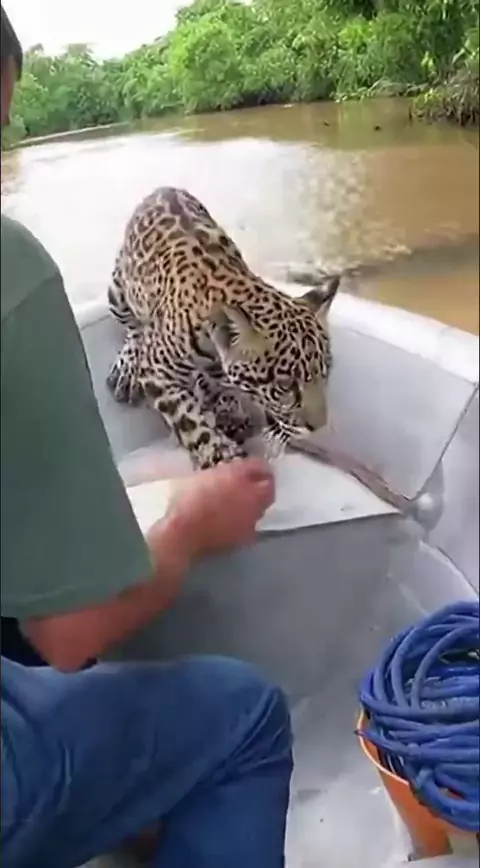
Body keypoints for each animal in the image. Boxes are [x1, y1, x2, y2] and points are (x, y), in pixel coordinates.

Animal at [107, 186, 340, 470]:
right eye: (284, 386)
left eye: (325, 373)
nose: (318, 427)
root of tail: (162, 189)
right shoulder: (157, 369)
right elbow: (189, 420)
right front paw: (220, 455)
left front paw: (226, 408)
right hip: (117, 291)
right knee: (133, 330)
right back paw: (127, 368)